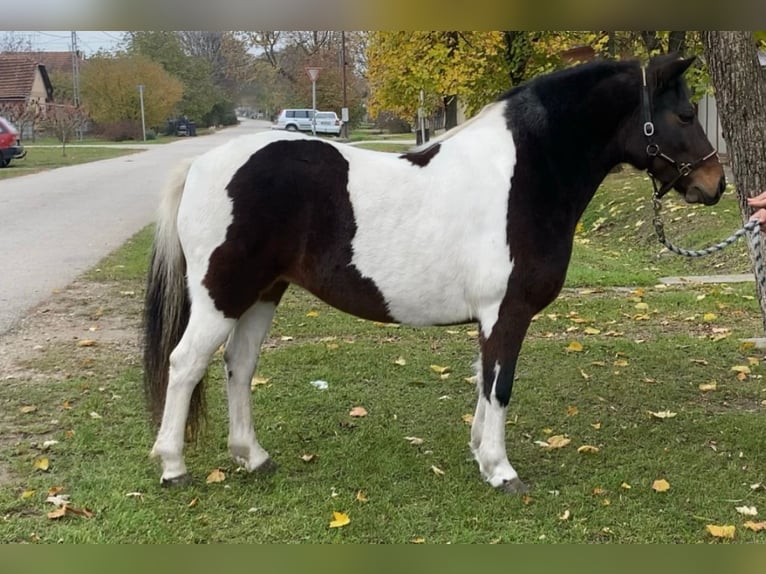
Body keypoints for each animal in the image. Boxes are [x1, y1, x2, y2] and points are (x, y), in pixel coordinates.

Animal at [142, 55, 728, 496]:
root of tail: (200, 166)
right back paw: (172, 465)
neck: (523, 174)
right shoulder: (507, 311)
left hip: (262, 293)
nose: (715, 183)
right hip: (221, 296)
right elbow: (500, 384)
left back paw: (254, 457)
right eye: (683, 114)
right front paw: (502, 471)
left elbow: (484, 381)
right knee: (186, 364)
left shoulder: (490, 318)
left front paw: (480, 455)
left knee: (238, 367)